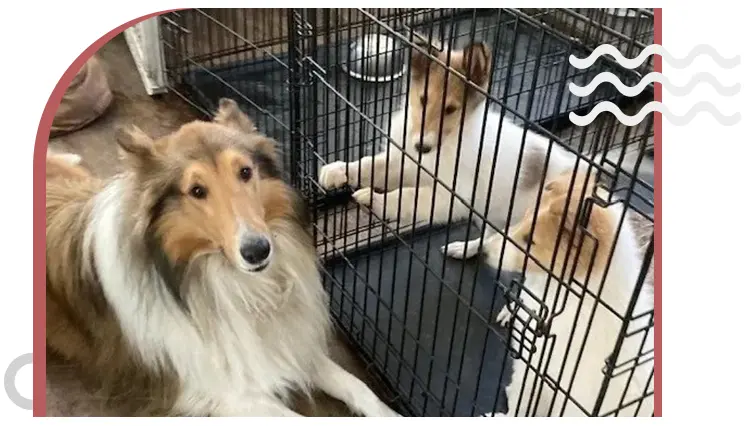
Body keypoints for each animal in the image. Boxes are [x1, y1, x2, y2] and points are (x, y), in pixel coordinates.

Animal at [46, 98, 402, 418]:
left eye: (245, 172)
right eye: (196, 191)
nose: (257, 251)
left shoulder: (286, 345)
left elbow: (358, 386)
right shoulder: (221, 393)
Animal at [316, 40, 580, 253]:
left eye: (450, 109)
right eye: (423, 99)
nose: (422, 146)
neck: (449, 140)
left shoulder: (450, 194)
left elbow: (406, 196)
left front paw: (373, 199)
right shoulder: (409, 163)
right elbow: (371, 164)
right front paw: (338, 171)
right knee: (490, 241)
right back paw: (464, 249)